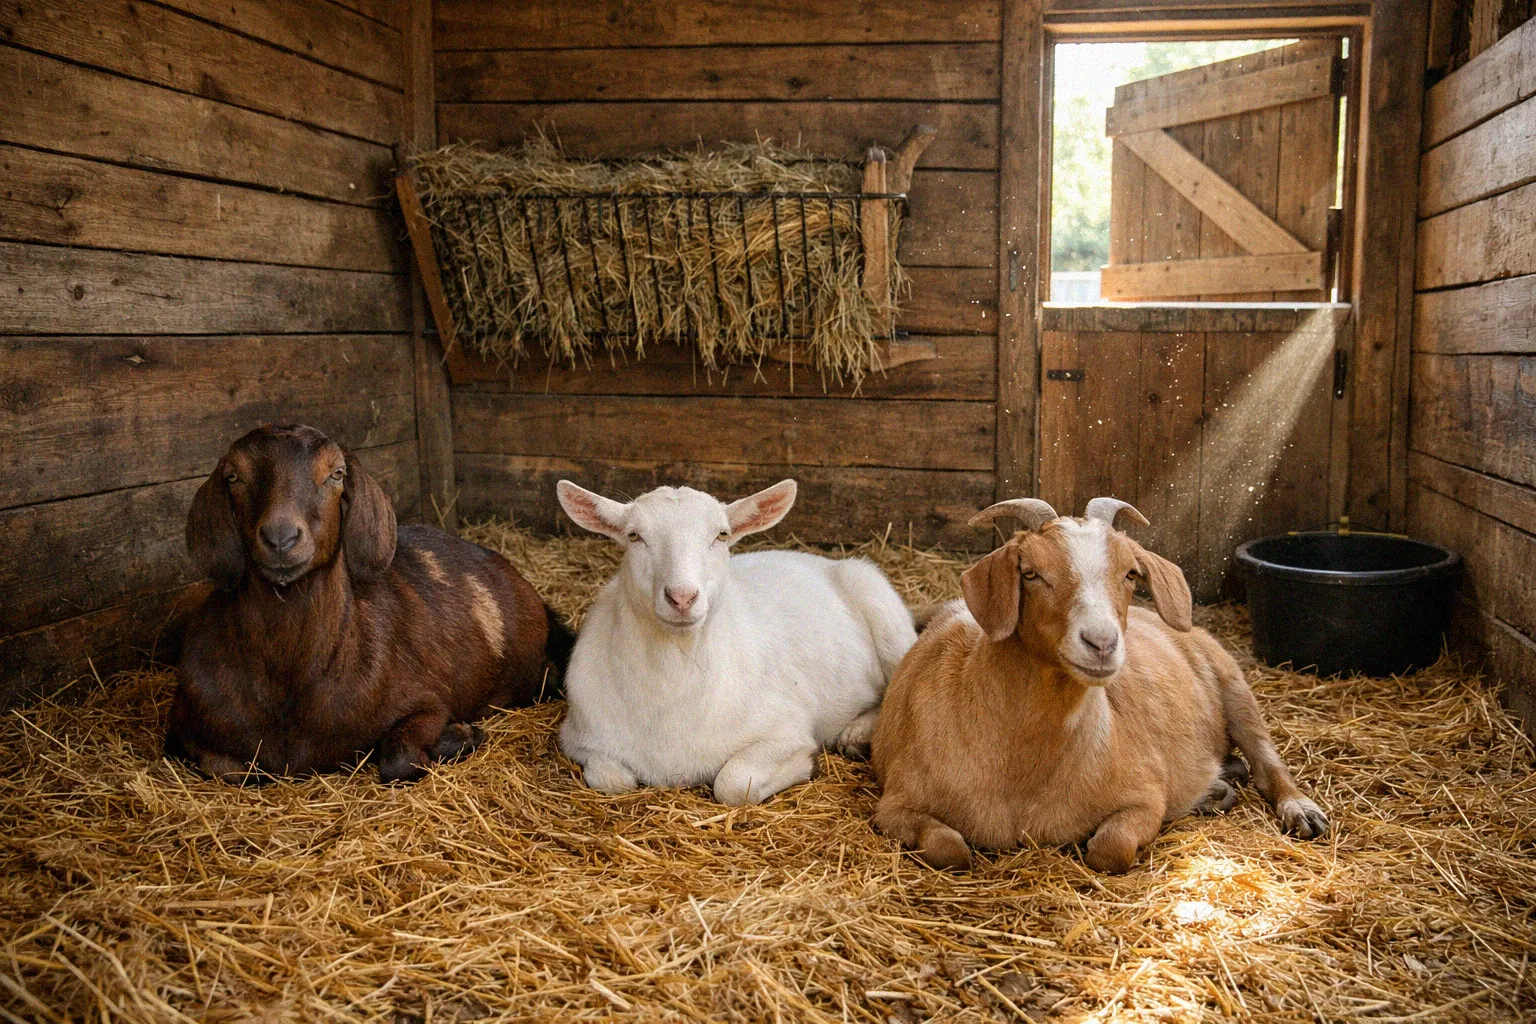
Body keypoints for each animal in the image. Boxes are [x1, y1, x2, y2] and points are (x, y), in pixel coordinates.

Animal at [165, 424, 574, 783]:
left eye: (336, 474)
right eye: (233, 476)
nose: (281, 538)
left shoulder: (427, 702)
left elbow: (399, 759)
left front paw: (460, 736)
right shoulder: (183, 724)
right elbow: (228, 769)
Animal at [555, 479, 917, 805]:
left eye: (721, 535)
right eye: (634, 536)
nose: (682, 597)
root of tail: (820, 561)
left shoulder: (786, 729)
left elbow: (733, 783)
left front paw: (804, 765)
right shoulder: (577, 739)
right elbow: (614, 780)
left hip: (883, 609)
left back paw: (858, 734)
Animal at [871, 497, 1328, 873]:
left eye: (1129, 573)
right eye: (1031, 573)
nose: (1102, 643)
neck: (1020, 774)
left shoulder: (1144, 796)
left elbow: (1111, 849)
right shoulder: (893, 807)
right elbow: (950, 850)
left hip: (1235, 686)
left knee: (1268, 761)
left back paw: (1300, 811)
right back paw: (1220, 785)